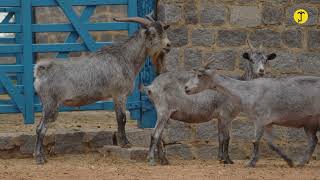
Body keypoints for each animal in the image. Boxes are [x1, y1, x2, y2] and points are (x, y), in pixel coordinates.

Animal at [33, 16, 171, 165]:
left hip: (46, 104)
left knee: (39, 127)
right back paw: (39, 158)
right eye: (153, 33)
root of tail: (41, 71)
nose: (168, 45)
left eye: (163, 30)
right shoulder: (120, 94)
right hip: (51, 104)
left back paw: (40, 155)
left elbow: (118, 117)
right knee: (41, 129)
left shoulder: (116, 96)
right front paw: (125, 143)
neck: (124, 58)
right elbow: (122, 118)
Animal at [143, 41, 278, 165]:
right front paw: (228, 160)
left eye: (266, 60)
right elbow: (227, 137)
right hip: (163, 110)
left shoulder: (220, 117)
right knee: (154, 134)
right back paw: (151, 160)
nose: (261, 71)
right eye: (251, 59)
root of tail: (151, 86)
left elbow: (220, 137)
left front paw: (220, 158)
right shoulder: (226, 114)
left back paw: (164, 160)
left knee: (159, 135)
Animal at [184, 63, 320, 167]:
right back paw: (302, 162)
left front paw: (250, 162)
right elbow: (271, 144)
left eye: (199, 75)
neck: (249, 91)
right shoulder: (267, 122)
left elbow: (255, 141)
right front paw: (289, 161)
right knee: (313, 141)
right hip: (309, 124)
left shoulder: (260, 118)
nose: (186, 88)